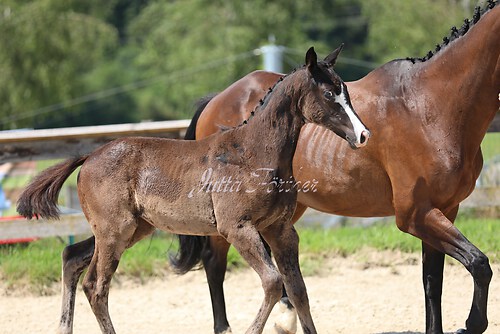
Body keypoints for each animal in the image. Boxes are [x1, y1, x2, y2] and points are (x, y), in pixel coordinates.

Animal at [17, 45, 370, 332]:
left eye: (347, 93)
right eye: (329, 95)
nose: (363, 135)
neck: (252, 153)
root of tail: (89, 156)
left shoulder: (280, 229)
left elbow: (297, 290)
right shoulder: (237, 228)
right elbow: (272, 283)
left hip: (131, 229)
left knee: (72, 258)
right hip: (114, 231)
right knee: (96, 286)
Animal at [173, 2, 500, 334]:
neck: (428, 106)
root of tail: (217, 100)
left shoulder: (445, 209)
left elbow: (433, 282)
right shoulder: (416, 215)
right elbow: (479, 264)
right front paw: (471, 324)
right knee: (215, 263)